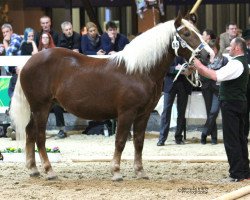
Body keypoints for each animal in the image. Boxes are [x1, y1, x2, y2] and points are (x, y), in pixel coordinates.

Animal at [9, 13, 213, 180]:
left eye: (197, 31)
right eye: (186, 33)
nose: (209, 55)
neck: (139, 71)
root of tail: (28, 62)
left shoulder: (144, 113)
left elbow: (139, 142)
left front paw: (140, 172)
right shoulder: (126, 113)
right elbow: (120, 141)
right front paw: (116, 172)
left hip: (39, 108)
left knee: (29, 132)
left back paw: (33, 170)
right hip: (41, 107)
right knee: (39, 136)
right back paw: (49, 171)